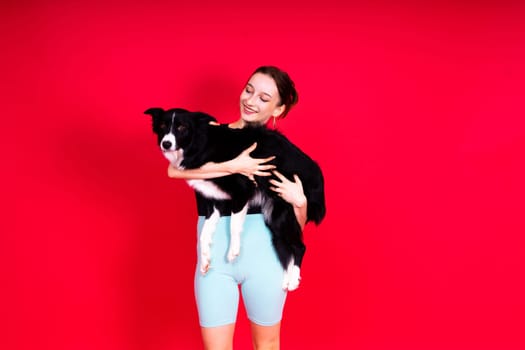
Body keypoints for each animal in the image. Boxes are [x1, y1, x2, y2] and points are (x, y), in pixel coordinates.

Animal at [145, 106, 326, 290]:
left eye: (182, 128)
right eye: (162, 126)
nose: (166, 144)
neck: (202, 145)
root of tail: (318, 176)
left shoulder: (242, 192)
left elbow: (234, 224)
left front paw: (233, 252)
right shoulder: (215, 203)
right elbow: (204, 235)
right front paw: (205, 261)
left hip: (283, 209)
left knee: (299, 247)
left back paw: (293, 280)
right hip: (274, 218)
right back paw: (287, 280)